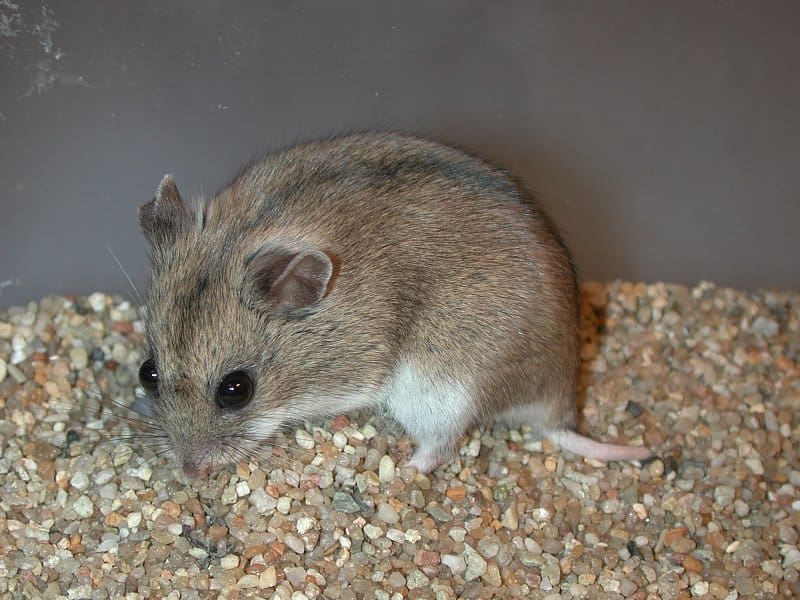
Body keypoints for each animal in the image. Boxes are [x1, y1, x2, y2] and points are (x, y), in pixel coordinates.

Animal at [137, 132, 651, 477]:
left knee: (440, 447)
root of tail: (559, 404)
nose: (189, 473)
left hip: (442, 390)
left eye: (236, 390)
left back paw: (400, 470)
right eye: (148, 374)